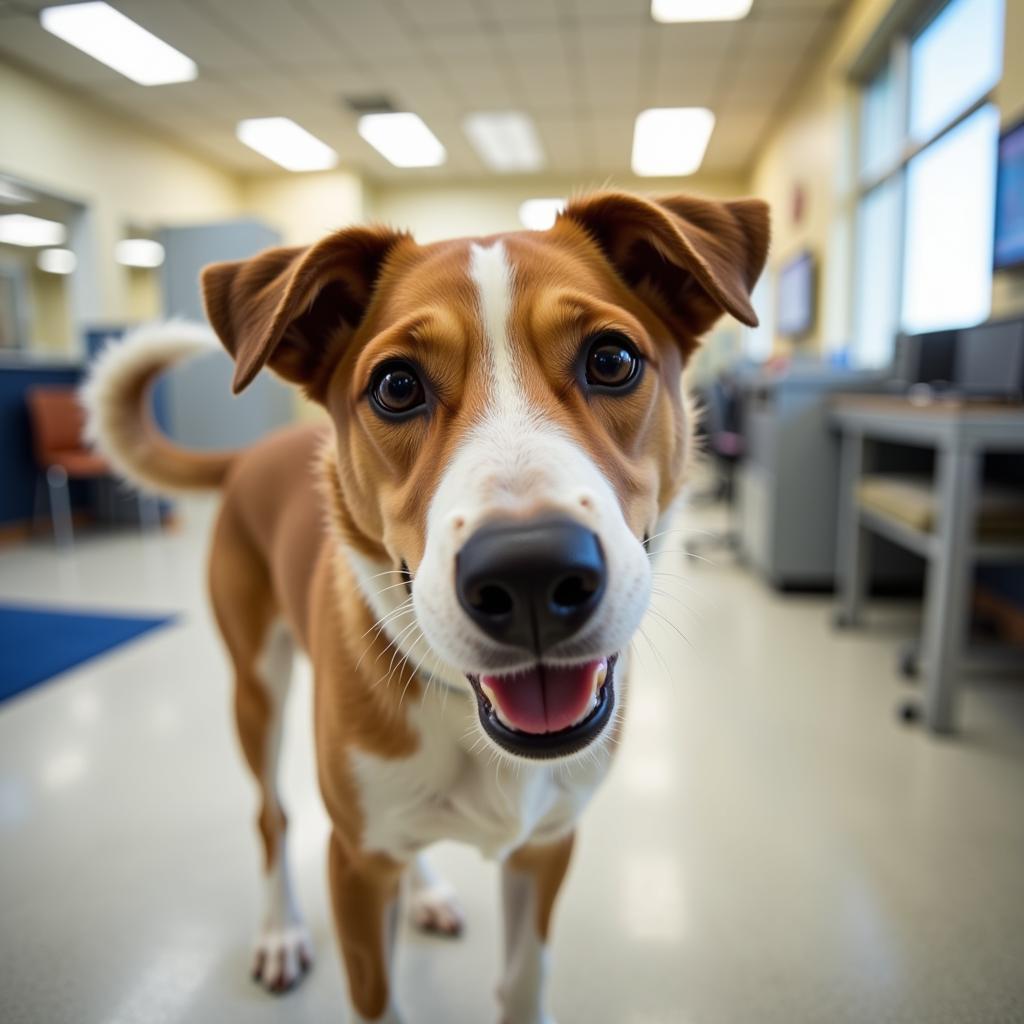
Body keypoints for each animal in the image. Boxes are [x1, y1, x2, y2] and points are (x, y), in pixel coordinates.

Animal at [81, 192, 770, 1024]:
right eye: (397, 386)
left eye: (611, 360)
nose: (531, 574)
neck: (466, 715)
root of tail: (253, 453)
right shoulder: (350, 863)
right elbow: (375, 994)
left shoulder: (548, 847)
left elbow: (523, 980)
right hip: (256, 690)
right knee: (271, 816)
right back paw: (280, 930)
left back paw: (424, 892)